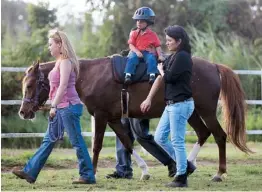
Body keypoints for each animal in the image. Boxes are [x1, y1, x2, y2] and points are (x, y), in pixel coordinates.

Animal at [18, 56, 252, 182]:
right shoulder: (113, 119)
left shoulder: (101, 116)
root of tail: (214, 66)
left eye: (29, 85)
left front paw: (92, 173)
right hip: (193, 113)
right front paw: (145, 172)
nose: (23, 112)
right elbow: (127, 144)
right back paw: (188, 165)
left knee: (219, 136)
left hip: (206, 111)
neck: (89, 75)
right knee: (204, 133)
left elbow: (96, 146)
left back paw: (218, 173)